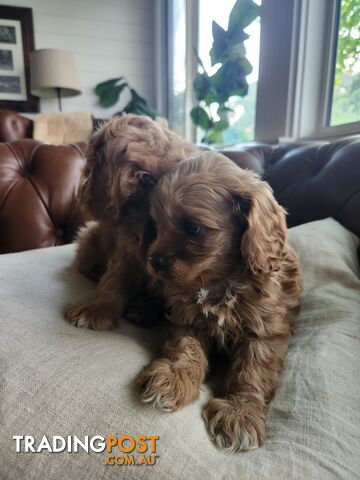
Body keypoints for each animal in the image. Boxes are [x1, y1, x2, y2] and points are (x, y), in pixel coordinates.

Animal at [66, 113, 198, 330]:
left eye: (93, 160)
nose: (80, 192)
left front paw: (145, 309)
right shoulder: (127, 251)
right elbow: (114, 281)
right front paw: (98, 309)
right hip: (90, 237)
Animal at [135, 152, 300, 452]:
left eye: (193, 228)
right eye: (157, 224)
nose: (154, 261)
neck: (218, 281)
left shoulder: (265, 332)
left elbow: (251, 370)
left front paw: (240, 411)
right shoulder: (185, 317)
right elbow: (185, 350)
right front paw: (173, 378)